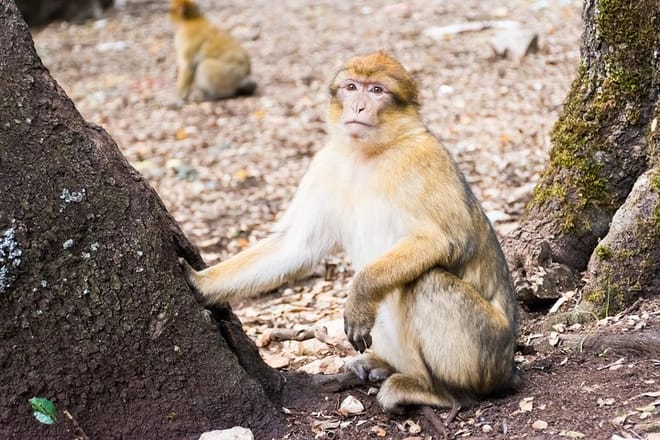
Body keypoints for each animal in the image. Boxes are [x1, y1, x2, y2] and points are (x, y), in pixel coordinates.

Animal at [181, 52, 520, 413]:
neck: (367, 154)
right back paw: (383, 364)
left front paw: (360, 293)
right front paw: (200, 283)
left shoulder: (423, 158)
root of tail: (508, 367)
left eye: (376, 90)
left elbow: (446, 240)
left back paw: (438, 392)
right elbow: (295, 247)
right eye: (351, 87)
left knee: (424, 281)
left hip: (484, 351)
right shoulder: (325, 164)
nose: (358, 106)